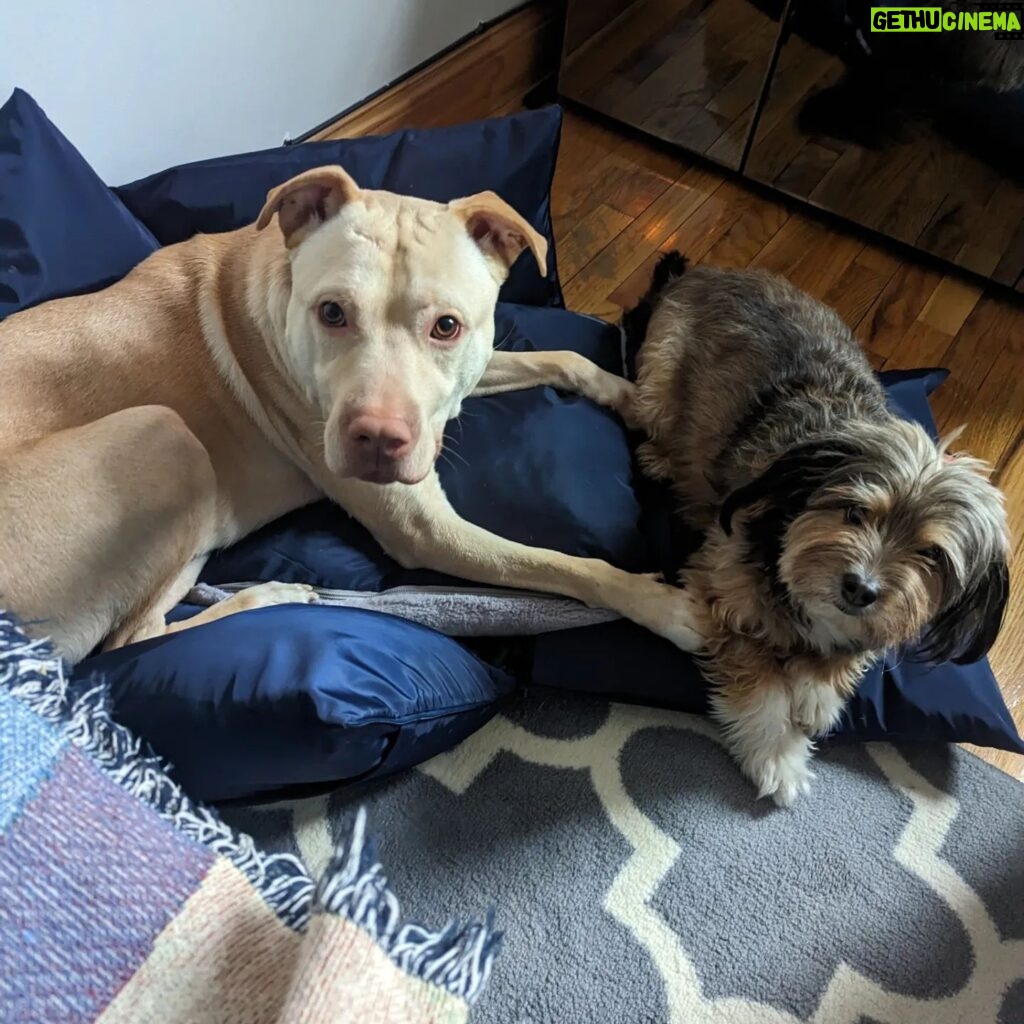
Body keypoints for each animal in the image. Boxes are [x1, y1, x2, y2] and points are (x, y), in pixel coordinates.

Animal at [0, 165, 704, 663]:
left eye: (447, 326)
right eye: (332, 312)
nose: (378, 438)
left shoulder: (462, 384)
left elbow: (562, 357)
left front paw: (630, 395)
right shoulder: (424, 529)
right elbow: (566, 565)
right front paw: (664, 607)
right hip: (163, 432)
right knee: (130, 642)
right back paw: (275, 595)